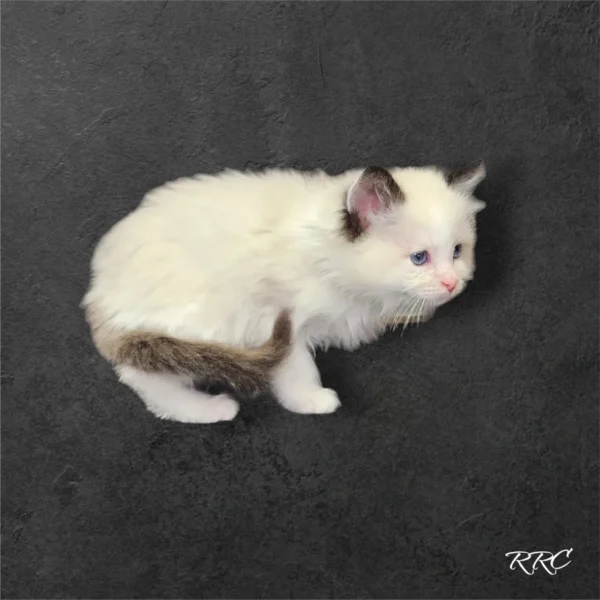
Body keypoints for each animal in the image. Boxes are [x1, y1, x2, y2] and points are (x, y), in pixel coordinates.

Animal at [82, 159, 486, 422]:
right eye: (419, 258)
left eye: (457, 252)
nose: (452, 283)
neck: (325, 258)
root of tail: (98, 291)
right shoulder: (275, 319)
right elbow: (296, 367)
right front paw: (311, 400)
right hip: (198, 323)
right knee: (146, 379)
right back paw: (211, 409)